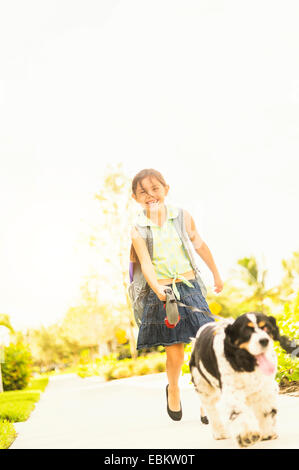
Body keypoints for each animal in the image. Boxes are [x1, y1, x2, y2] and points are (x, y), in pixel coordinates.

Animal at [191, 312, 298, 448]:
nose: (264, 341)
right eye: (247, 331)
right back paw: (219, 433)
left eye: (266, 328)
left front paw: (267, 432)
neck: (246, 363)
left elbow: (266, 410)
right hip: (204, 388)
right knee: (211, 410)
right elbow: (239, 413)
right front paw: (247, 435)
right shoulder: (232, 391)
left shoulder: (265, 388)